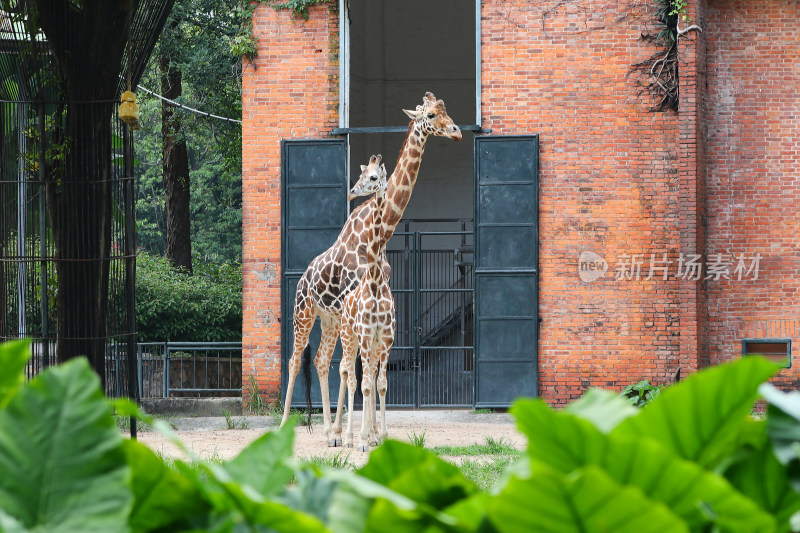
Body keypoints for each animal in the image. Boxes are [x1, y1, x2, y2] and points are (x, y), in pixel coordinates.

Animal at [280, 92, 462, 444]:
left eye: (446, 109)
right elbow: (354, 370)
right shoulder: (356, 309)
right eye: (431, 115)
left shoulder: (371, 312)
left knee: (321, 361)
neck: (381, 232)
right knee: (298, 360)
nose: (458, 131)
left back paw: (329, 429)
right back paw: (285, 427)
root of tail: (302, 279)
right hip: (304, 312)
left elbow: (369, 370)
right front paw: (358, 434)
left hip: (329, 318)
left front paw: (368, 432)